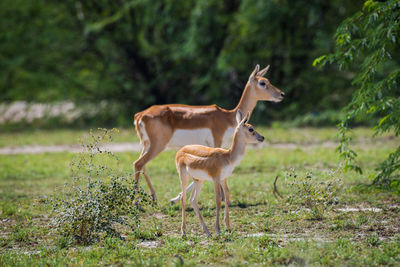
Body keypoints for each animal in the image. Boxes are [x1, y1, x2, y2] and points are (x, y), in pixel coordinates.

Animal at [133, 65, 282, 203]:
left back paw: (153, 197)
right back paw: (136, 202)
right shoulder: (217, 142)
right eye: (262, 83)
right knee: (138, 164)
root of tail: (140, 115)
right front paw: (222, 197)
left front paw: (176, 198)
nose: (281, 94)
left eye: (268, 80)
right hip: (158, 145)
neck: (228, 117)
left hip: (147, 144)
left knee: (142, 165)